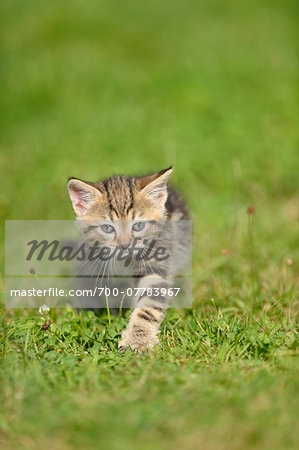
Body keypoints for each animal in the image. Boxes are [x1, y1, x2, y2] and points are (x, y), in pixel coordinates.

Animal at [68, 168, 190, 352]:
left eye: (138, 226)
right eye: (107, 228)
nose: (125, 245)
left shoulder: (156, 259)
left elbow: (148, 303)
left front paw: (139, 338)